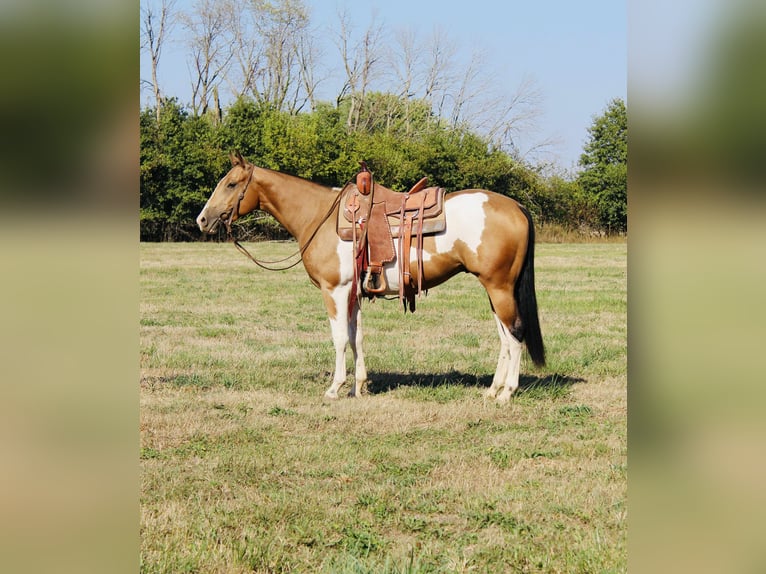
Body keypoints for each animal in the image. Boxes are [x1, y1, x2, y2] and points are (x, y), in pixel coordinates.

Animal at [196, 152, 545, 403]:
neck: (319, 216)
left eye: (230, 184)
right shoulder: (353, 292)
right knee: (505, 336)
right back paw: (492, 389)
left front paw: (335, 388)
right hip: (495, 289)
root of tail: (516, 205)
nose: (202, 219)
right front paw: (358, 386)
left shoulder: (335, 290)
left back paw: (506, 393)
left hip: (499, 287)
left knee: (515, 332)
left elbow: (339, 338)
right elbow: (356, 336)